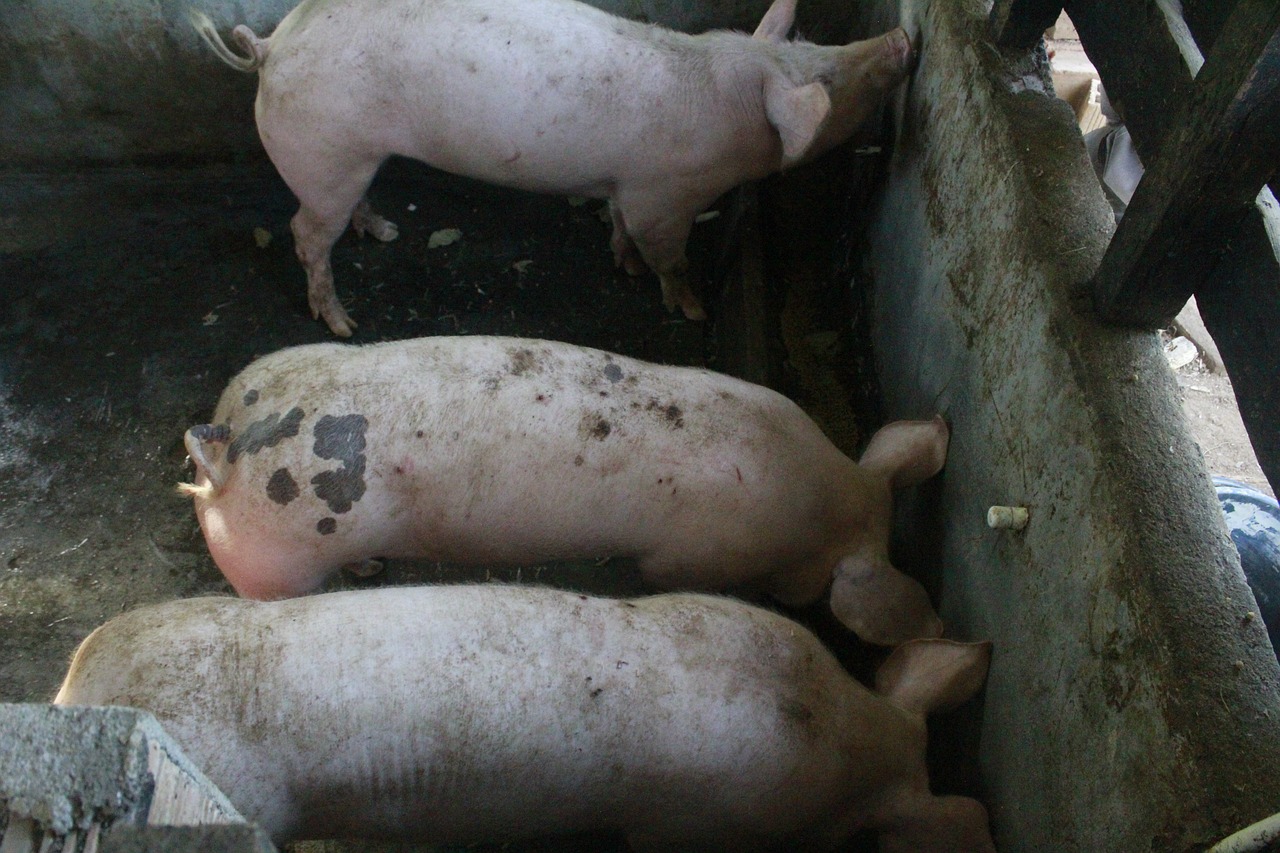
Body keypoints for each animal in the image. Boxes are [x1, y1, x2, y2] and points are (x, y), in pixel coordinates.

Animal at [190, 0, 915, 336]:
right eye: (827, 83)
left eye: (817, 46)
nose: (902, 37)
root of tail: (270, 46)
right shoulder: (665, 194)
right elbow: (668, 254)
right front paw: (691, 309)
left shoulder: (627, 184)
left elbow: (617, 222)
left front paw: (622, 264)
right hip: (323, 153)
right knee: (305, 233)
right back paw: (343, 323)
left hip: (354, 158)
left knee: (349, 210)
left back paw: (387, 231)